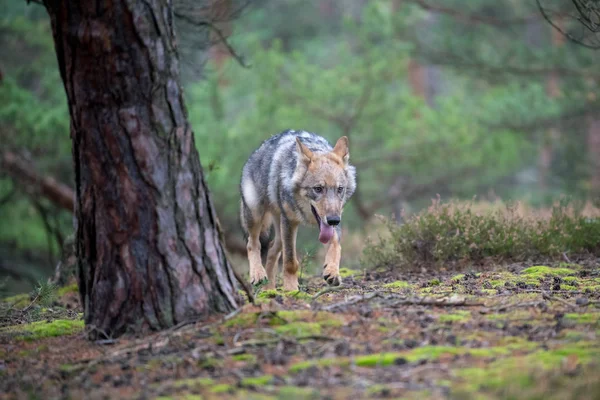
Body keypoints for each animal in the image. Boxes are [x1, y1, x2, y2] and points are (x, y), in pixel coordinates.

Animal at [240, 130, 356, 290]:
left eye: (340, 189)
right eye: (318, 189)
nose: (333, 220)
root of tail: (256, 151)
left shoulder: (336, 218)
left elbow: (336, 245)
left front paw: (332, 271)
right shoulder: (290, 222)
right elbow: (290, 262)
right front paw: (291, 289)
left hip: (279, 229)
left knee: (272, 249)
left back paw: (269, 290)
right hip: (256, 213)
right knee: (252, 244)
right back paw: (258, 275)